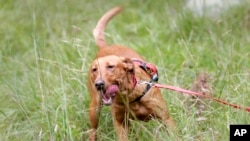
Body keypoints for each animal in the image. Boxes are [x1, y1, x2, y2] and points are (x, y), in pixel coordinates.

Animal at [88, 6, 176, 141]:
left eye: (111, 66)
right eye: (94, 69)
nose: (99, 84)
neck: (129, 96)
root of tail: (104, 47)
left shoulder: (166, 119)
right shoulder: (120, 124)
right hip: (94, 109)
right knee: (93, 130)